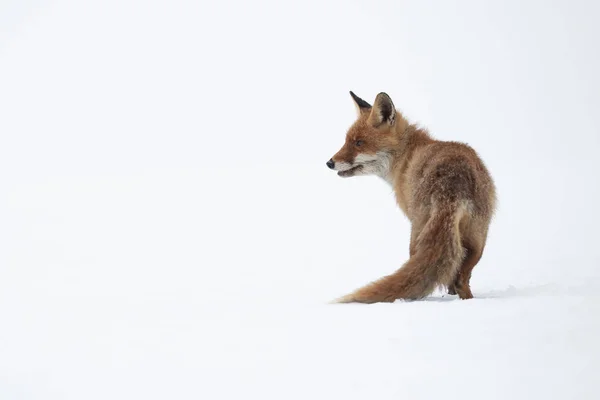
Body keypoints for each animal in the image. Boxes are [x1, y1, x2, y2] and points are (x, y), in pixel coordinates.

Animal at [326, 90, 494, 304]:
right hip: (478, 239)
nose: (329, 163)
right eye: (346, 141)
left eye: (359, 143)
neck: (406, 158)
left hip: (417, 234)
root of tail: (451, 185)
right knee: (461, 279)